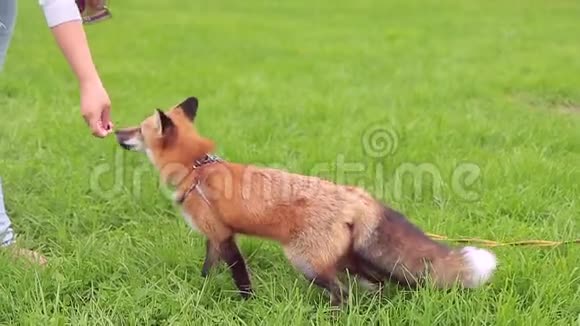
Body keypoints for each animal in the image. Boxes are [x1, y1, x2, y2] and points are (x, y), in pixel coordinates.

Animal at [114, 97, 498, 306]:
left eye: (137, 129)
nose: (115, 131)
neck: (197, 168)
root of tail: (356, 195)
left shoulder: (224, 236)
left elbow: (239, 276)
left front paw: (246, 305)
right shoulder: (215, 234)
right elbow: (208, 269)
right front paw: (203, 288)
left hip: (307, 263)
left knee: (343, 292)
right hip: (347, 261)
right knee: (377, 283)